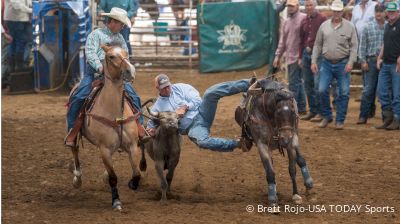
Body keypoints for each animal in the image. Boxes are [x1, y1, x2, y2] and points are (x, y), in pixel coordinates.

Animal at [69, 44, 142, 211]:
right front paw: (116, 202)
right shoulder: (104, 149)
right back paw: (77, 178)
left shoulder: (133, 146)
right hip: (73, 131)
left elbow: (137, 173)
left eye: (126, 53)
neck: (114, 112)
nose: (130, 71)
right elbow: (113, 178)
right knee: (74, 149)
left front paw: (131, 184)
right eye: (111, 56)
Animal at [234, 78, 316, 211]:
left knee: (300, 159)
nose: (285, 137)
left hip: (294, 138)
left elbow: (292, 169)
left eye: (292, 111)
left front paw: (296, 195)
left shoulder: (291, 141)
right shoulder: (262, 145)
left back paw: (308, 182)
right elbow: (270, 172)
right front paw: (273, 200)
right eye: (277, 112)